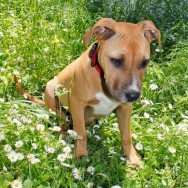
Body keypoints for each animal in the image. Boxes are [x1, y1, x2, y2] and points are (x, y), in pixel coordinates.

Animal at [15, 18, 162, 167]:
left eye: (145, 62)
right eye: (116, 61)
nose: (133, 95)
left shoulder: (125, 107)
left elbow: (126, 135)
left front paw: (132, 157)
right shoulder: (77, 102)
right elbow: (81, 132)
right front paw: (81, 155)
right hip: (51, 90)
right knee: (62, 119)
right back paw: (63, 132)